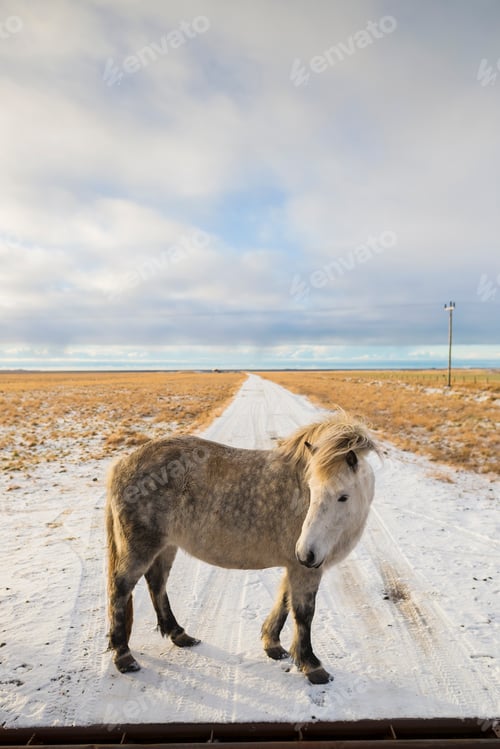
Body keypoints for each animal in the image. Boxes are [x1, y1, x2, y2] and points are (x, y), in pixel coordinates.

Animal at [106, 413, 378, 684]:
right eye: (311, 490)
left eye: (343, 496)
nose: (306, 552)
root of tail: (123, 464)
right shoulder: (305, 569)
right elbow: (303, 613)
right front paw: (311, 665)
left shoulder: (295, 565)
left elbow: (284, 600)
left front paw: (273, 645)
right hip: (140, 547)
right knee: (121, 589)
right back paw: (124, 657)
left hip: (167, 546)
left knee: (157, 584)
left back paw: (179, 635)